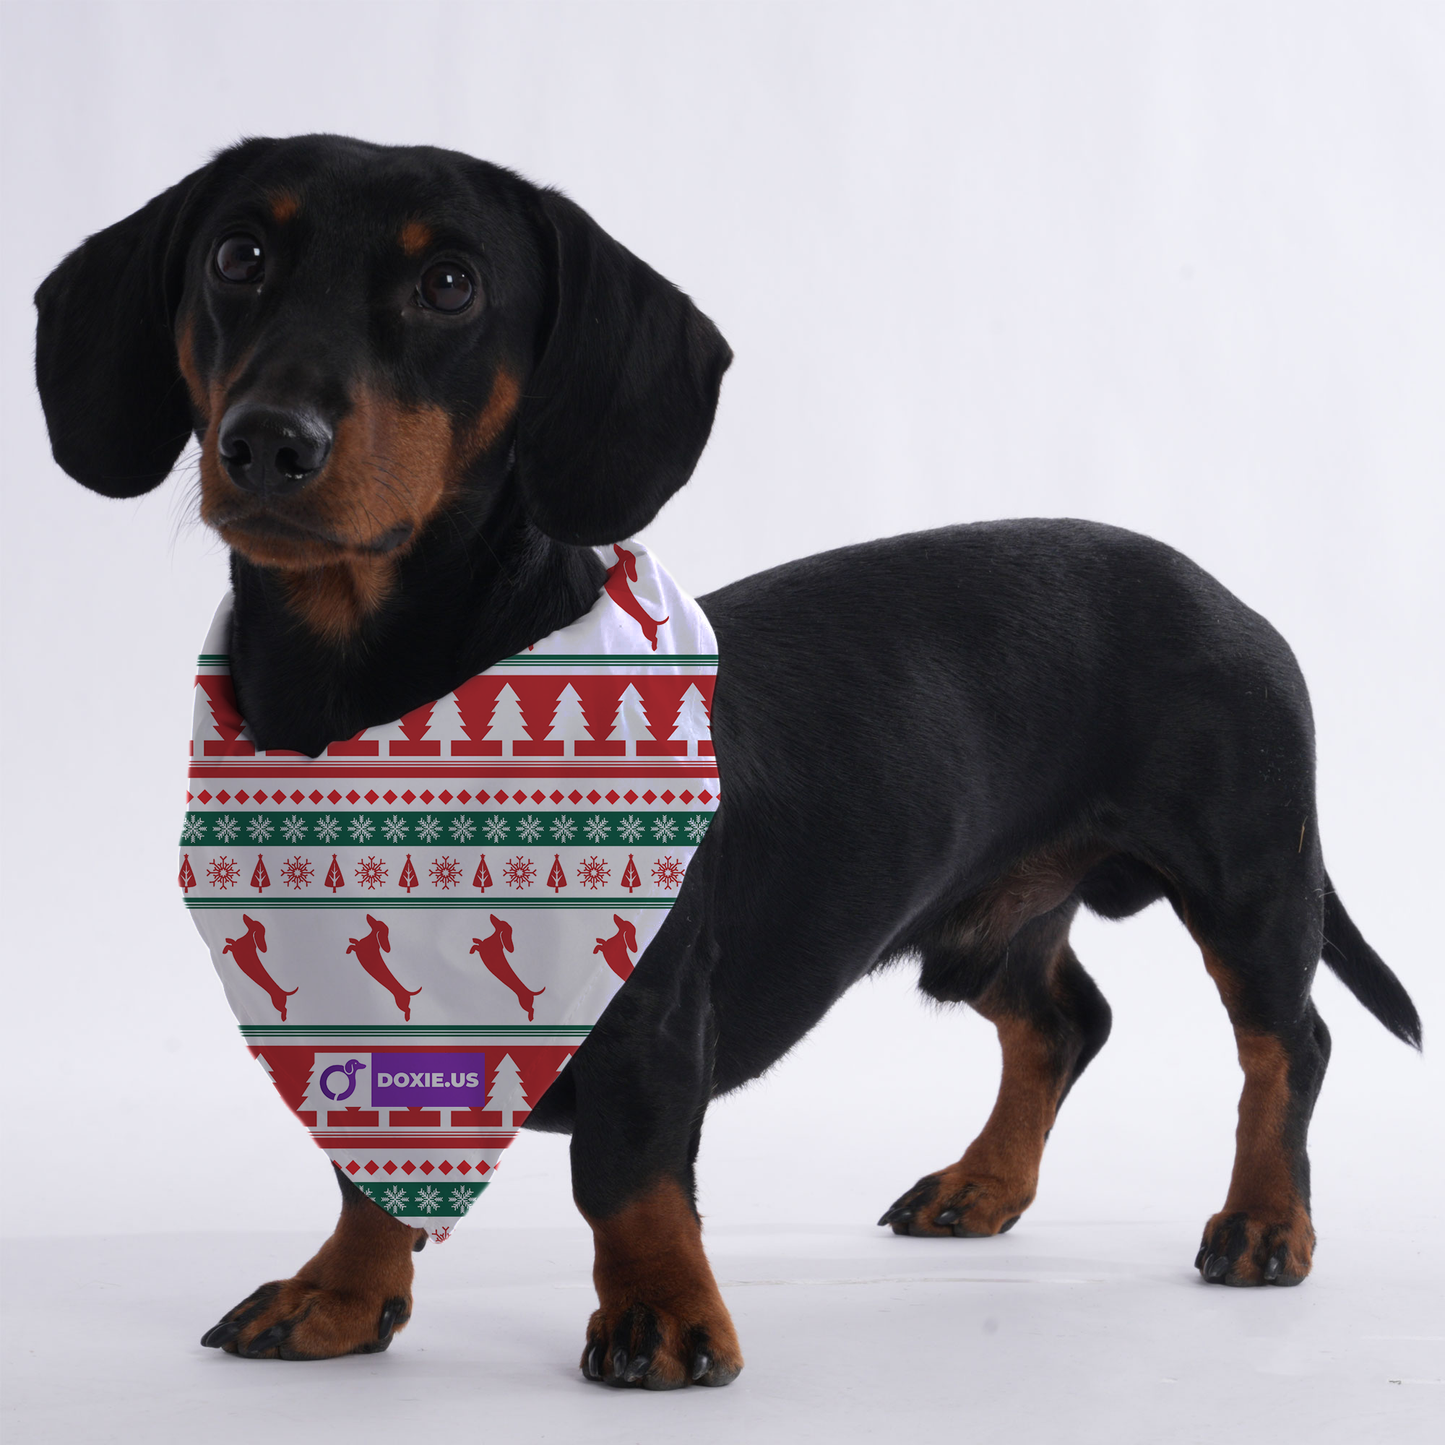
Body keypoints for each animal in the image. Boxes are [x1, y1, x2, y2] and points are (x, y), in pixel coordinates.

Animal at [36, 135, 1421, 1387]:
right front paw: (336, 1290)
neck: (373, 712)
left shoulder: (651, 1007)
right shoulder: (355, 1015)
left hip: (1247, 877)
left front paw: (661, 1312)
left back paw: (1264, 1219)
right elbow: (368, 1163)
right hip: (982, 924)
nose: (268, 441)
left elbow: (629, 1171)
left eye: (451, 285)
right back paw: (981, 1183)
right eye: (237, 255)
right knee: (1066, 1020)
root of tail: (1227, 594)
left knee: (1285, 1043)